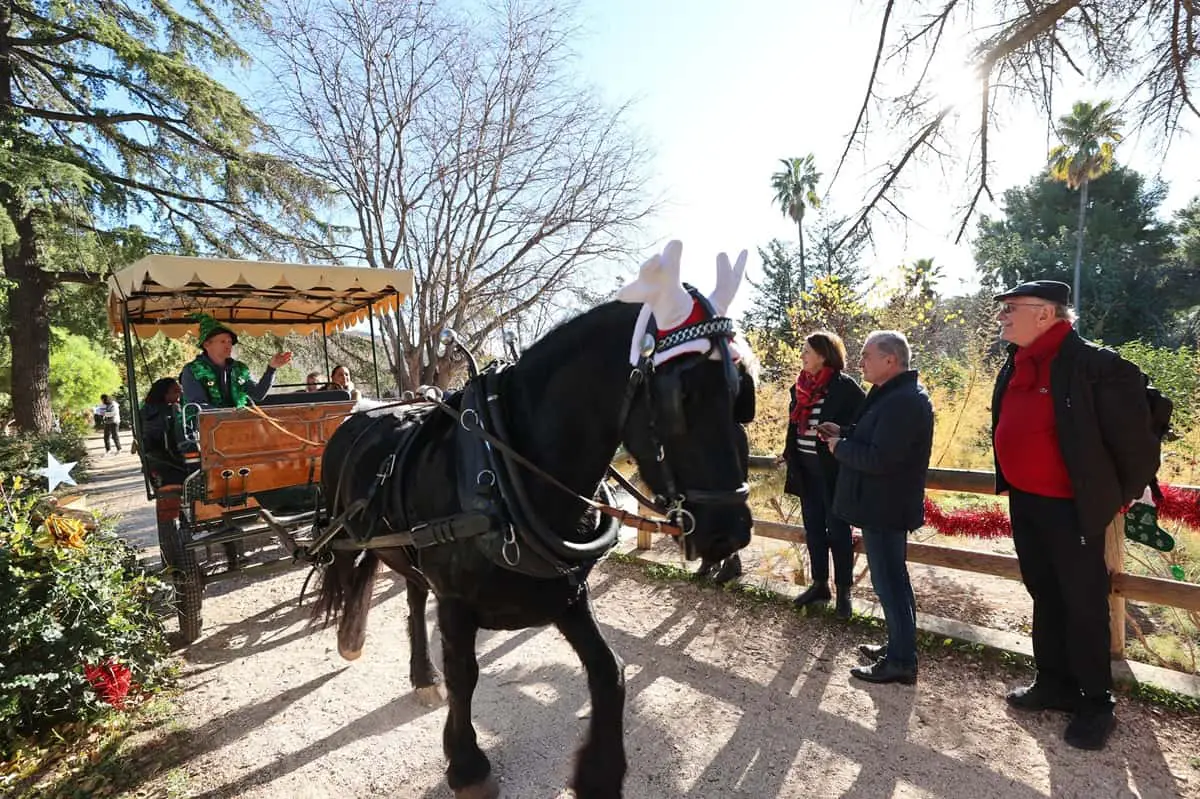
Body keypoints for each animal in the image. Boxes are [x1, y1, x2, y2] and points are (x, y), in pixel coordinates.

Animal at [314, 242, 753, 796]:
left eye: (741, 393)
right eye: (683, 397)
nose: (733, 530)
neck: (506, 468)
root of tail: (357, 414)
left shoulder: (567, 593)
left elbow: (610, 671)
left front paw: (599, 773)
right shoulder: (455, 602)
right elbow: (465, 676)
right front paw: (466, 765)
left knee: (410, 594)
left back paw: (419, 674)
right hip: (349, 531)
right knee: (350, 569)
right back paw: (350, 636)